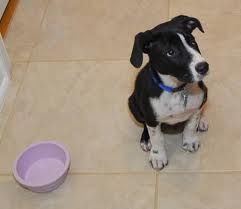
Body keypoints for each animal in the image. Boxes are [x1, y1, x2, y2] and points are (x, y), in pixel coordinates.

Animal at [128, 15, 209, 170]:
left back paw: (201, 122)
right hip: (133, 104)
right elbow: (157, 138)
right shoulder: (151, 119)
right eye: (170, 52)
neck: (176, 89)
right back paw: (146, 140)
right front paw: (158, 156)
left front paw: (190, 140)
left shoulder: (198, 103)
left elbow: (191, 124)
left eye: (193, 42)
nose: (204, 67)